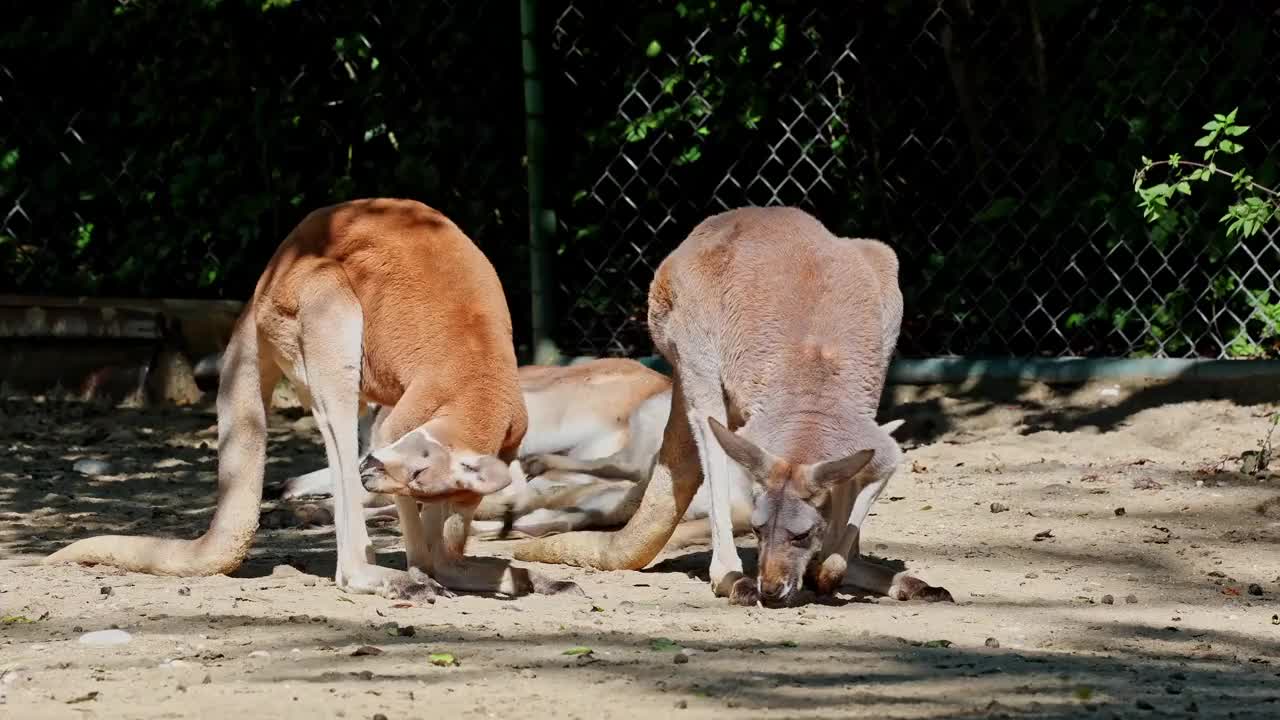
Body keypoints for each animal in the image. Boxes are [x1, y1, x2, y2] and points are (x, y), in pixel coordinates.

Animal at [45, 197, 576, 599]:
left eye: (421, 476)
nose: (371, 470)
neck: (477, 394)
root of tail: (264, 280)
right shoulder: (407, 416)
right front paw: (423, 571)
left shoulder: (500, 442)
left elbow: (452, 514)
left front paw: (454, 566)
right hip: (321, 309)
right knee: (339, 419)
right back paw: (389, 578)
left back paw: (510, 577)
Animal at [512, 207, 952, 604]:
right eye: (755, 531)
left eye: (801, 534)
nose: (771, 591)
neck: (811, 414)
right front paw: (811, 572)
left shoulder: (870, 441)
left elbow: (859, 492)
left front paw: (827, 568)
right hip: (689, 336)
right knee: (708, 435)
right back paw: (730, 577)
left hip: (884, 282)